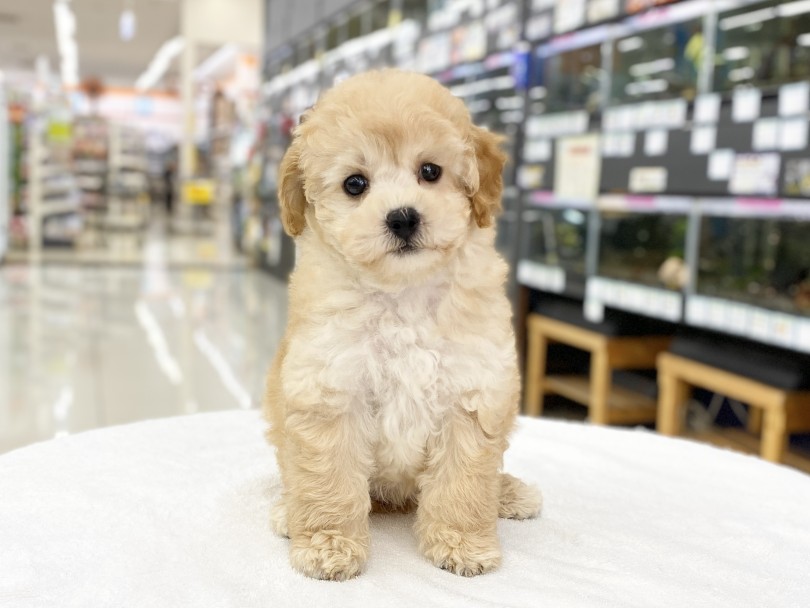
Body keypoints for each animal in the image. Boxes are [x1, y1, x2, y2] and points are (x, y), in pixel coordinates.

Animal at [266, 69, 540, 580]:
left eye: (430, 171)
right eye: (355, 184)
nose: (403, 217)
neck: (403, 294)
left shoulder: (472, 392)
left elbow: (465, 481)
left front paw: (461, 543)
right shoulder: (329, 390)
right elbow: (327, 478)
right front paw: (329, 545)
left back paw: (510, 493)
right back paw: (287, 514)